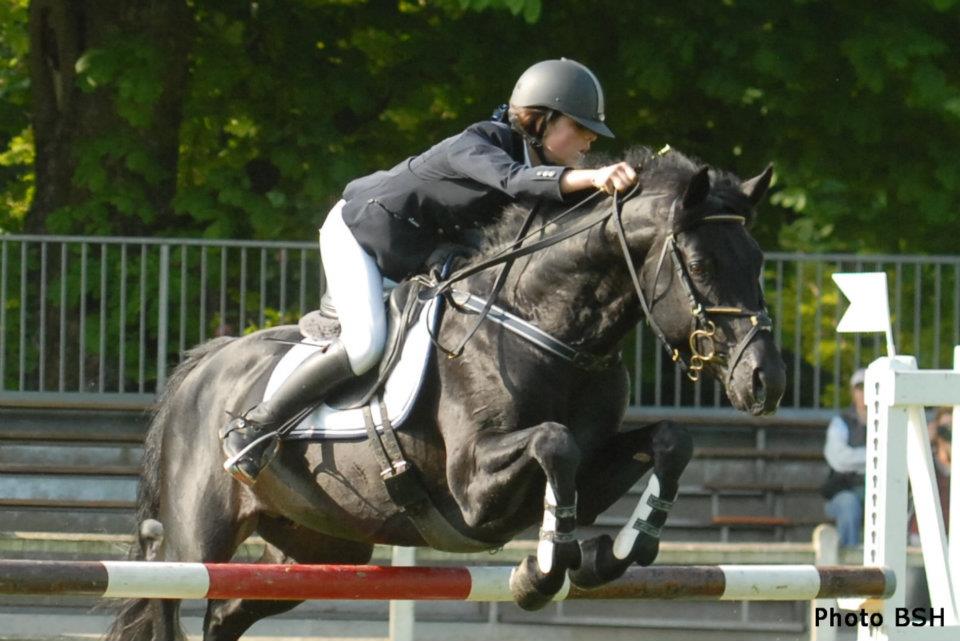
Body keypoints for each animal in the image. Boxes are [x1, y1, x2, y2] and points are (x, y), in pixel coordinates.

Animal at [105, 146, 788, 640]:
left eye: (757, 262)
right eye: (698, 266)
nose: (765, 380)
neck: (546, 325)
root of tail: (202, 365)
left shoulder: (596, 458)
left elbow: (668, 441)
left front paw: (616, 550)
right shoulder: (474, 485)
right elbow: (555, 444)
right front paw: (543, 571)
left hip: (319, 546)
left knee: (227, 615)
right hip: (193, 546)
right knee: (172, 601)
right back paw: (247, 437)